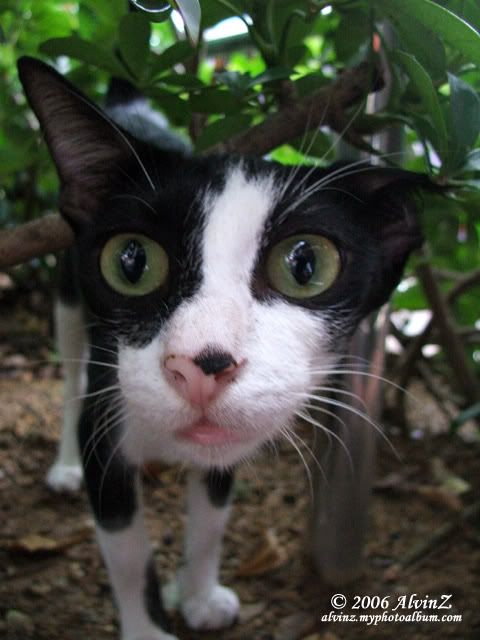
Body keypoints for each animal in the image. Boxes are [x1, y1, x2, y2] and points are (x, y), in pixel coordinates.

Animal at [18, 55, 426, 640]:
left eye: (306, 265)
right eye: (131, 261)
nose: (200, 366)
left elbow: (212, 513)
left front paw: (199, 596)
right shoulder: (109, 432)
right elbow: (127, 555)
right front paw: (147, 628)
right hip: (70, 299)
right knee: (73, 372)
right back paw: (66, 464)